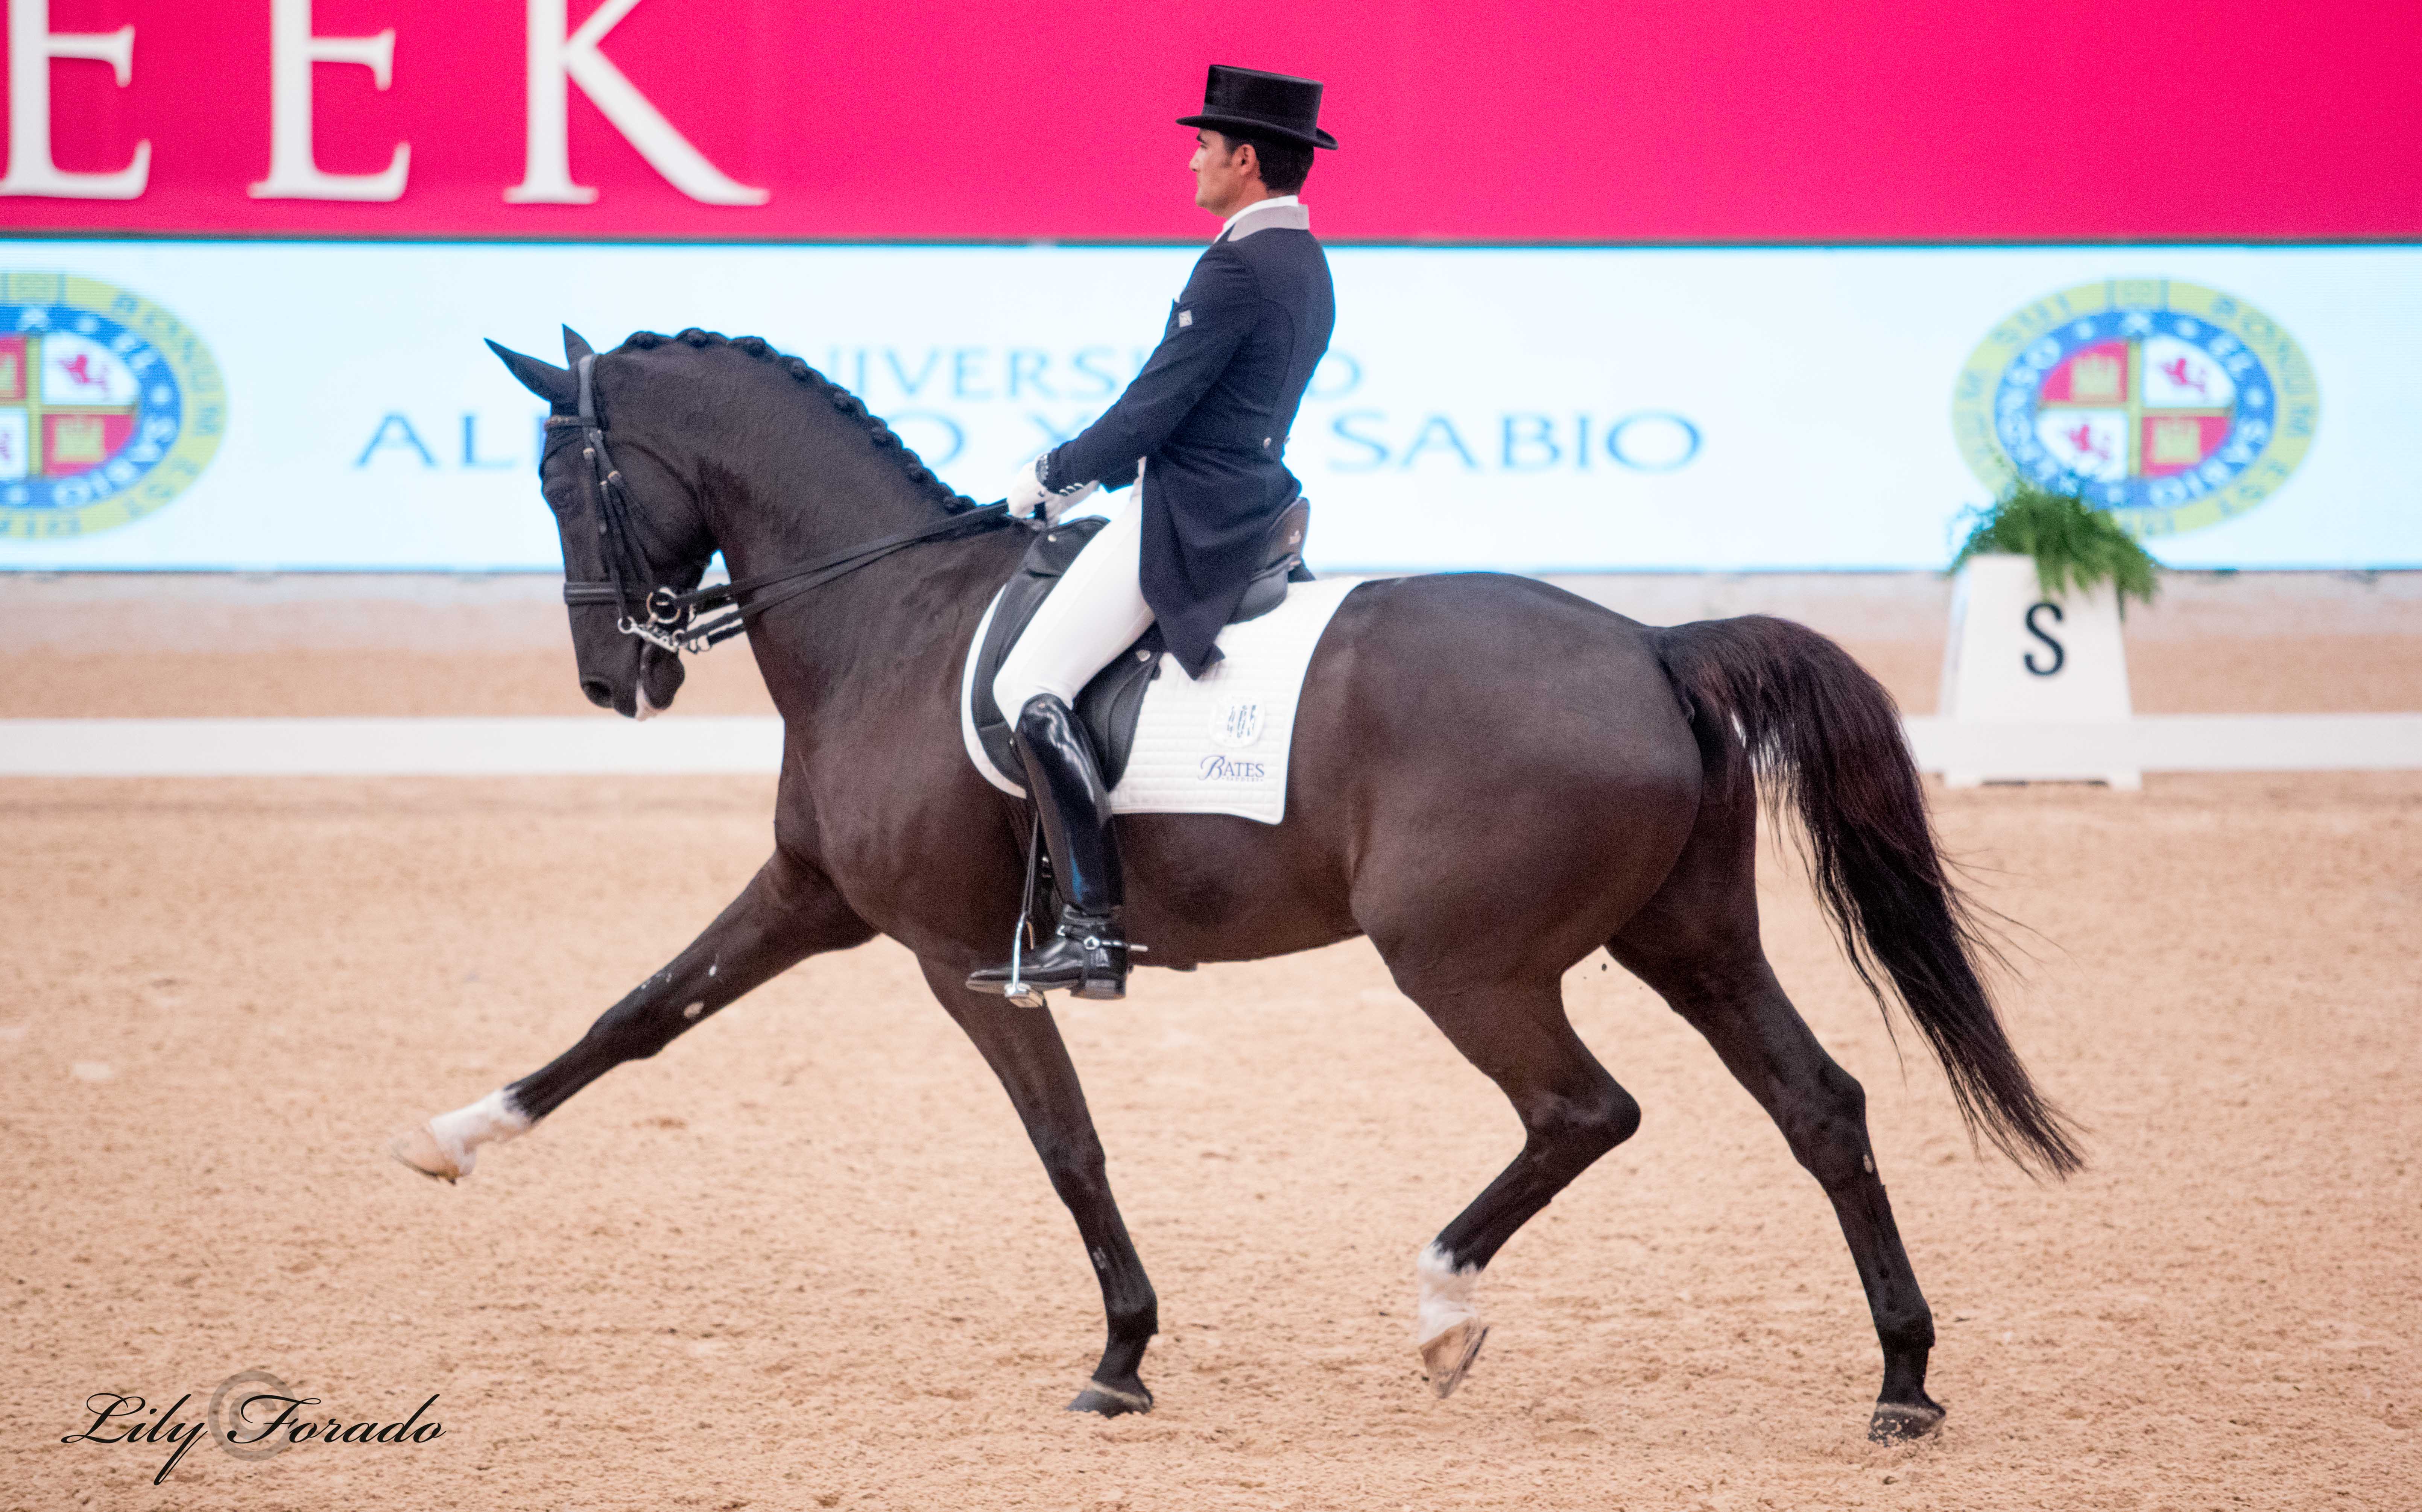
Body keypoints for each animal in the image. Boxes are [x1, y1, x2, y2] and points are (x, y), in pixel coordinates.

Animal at [402, 325, 2083, 1434]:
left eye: (560, 476)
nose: (611, 680)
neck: (886, 615)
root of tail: (1652, 646)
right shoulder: (810, 897)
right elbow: (635, 1015)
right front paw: (451, 1135)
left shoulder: (956, 956)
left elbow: (1067, 1147)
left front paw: (1120, 1353)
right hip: (1691, 935)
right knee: (1819, 1106)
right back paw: (1902, 1377)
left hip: (1462, 958)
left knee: (1583, 1109)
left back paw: (1441, 1311)